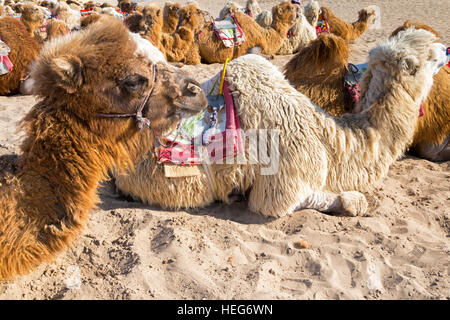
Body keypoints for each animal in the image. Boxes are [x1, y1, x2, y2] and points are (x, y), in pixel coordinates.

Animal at [115, 29, 446, 218]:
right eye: (429, 55)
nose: (446, 49)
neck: (330, 141)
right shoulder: (282, 183)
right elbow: (305, 201)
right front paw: (352, 201)